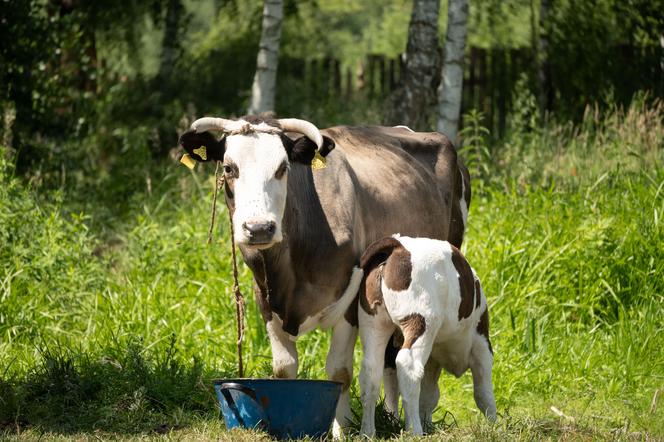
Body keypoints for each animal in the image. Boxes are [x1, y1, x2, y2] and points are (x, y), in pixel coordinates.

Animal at [179, 115, 470, 436]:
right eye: (230, 168)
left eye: (282, 168)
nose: (259, 228)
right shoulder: (265, 299)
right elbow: (284, 369)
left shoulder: (351, 302)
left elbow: (339, 372)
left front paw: (340, 430)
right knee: (390, 360)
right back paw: (393, 418)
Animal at [358, 235, 492, 436]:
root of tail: (399, 245)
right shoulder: (482, 343)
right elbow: (484, 393)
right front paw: (496, 425)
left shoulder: (433, 360)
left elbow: (429, 395)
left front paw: (428, 425)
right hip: (421, 321)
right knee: (409, 367)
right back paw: (414, 431)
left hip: (373, 323)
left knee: (370, 371)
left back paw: (367, 432)